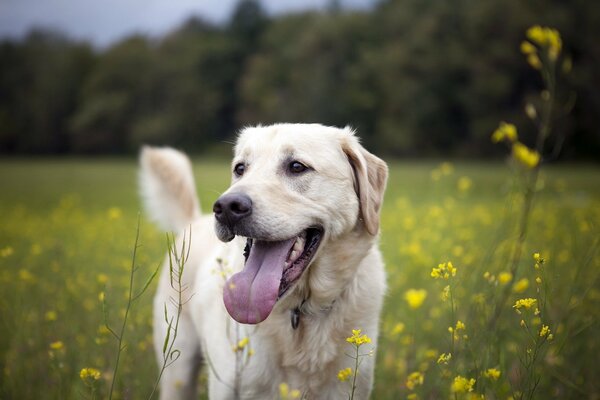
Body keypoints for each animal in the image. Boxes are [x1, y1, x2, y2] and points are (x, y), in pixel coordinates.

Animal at [138, 123, 386, 398]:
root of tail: (194, 221)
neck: (300, 313)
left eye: (297, 166)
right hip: (177, 370)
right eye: (240, 168)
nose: (226, 207)